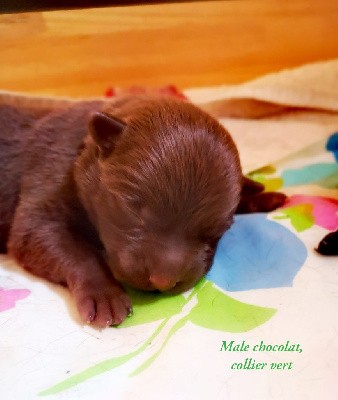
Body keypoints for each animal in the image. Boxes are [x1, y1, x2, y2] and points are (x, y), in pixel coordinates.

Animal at [0, 95, 286, 326]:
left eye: (217, 232)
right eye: (132, 212)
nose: (163, 282)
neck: (82, 147)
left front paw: (263, 195)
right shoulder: (47, 180)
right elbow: (69, 248)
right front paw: (105, 293)